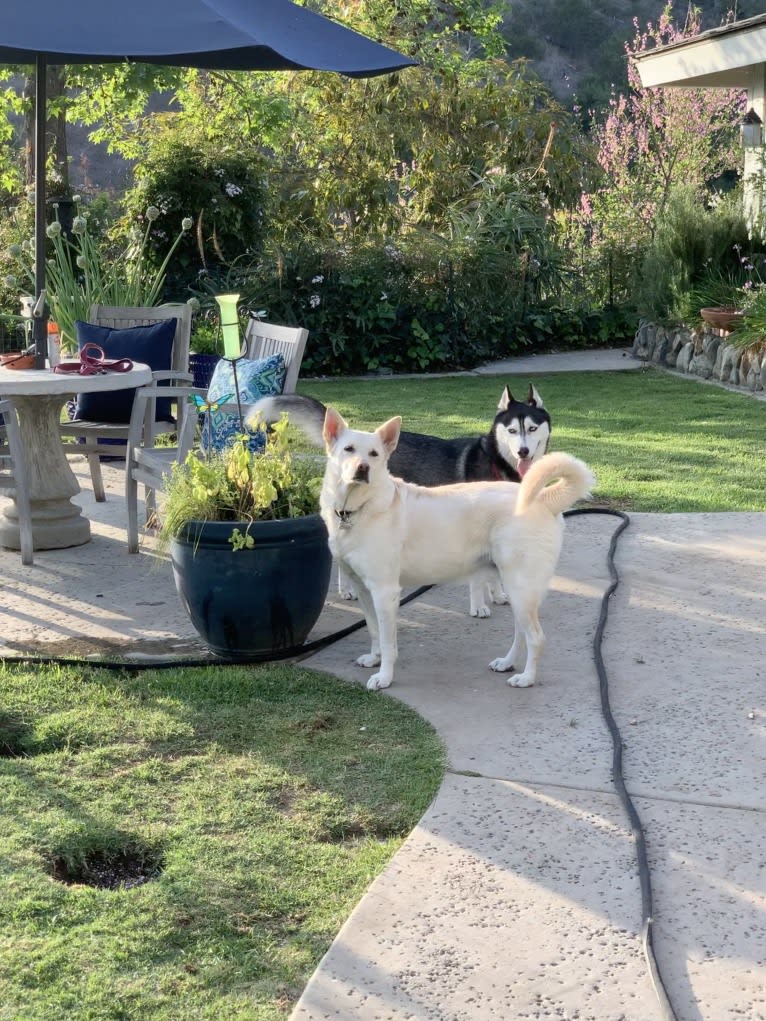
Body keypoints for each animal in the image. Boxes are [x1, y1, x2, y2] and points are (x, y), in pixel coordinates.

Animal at [320, 406, 596, 694]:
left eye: (374, 454)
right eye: (348, 449)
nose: (362, 468)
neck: (356, 510)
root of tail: (542, 499)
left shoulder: (385, 593)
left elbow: (388, 642)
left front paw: (384, 676)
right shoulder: (364, 590)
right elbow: (374, 630)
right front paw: (374, 658)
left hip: (521, 588)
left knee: (536, 637)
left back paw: (527, 678)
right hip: (517, 590)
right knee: (522, 632)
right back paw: (507, 663)